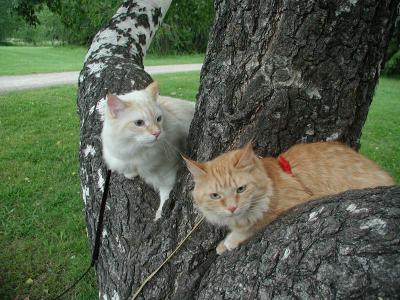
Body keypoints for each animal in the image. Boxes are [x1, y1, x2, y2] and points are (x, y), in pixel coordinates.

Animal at [101, 82, 195, 220]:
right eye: (139, 123)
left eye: (158, 119)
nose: (157, 133)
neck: (137, 151)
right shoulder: (120, 158)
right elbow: (128, 169)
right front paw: (131, 174)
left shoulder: (168, 170)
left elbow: (165, 193)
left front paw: (160, 213)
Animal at [183, 142, 396, 254]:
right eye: (215, 195)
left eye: (241, 189)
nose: (232, 208)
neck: (271, 181)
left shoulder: (291, 203)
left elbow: (254, 224)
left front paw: (229, 241)